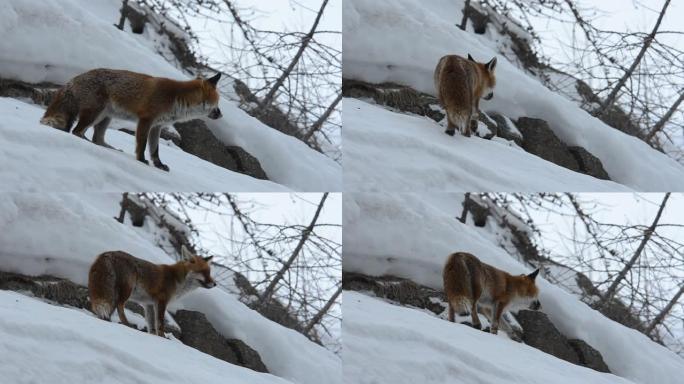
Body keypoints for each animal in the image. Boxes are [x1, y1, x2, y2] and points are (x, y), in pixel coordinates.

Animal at [40, 69, 223, 171]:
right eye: (217, 103)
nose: (220, 115)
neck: (175, 99)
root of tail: (73, 79)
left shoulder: (157, 126)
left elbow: (155, 150)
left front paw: (159, 165)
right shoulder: (146, 120)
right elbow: (142, 145)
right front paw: (141, 160)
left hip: (106, 117)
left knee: (96, 138)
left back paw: (107, 148)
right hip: (94, 113)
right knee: (76, 131)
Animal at [88, 246, 216, 336]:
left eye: (209, 272)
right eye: (203, 272)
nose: (215, 284)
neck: (176, 279)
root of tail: (107, 253)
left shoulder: (149, 304)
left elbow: (151, 325)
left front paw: (154, 337)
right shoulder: (161, 301)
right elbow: (160, 324)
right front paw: (163, 338)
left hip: (114, 292)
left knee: (112, 307)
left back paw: (107, 320)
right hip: (127, 290)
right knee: (120, 307)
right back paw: (126, 324)